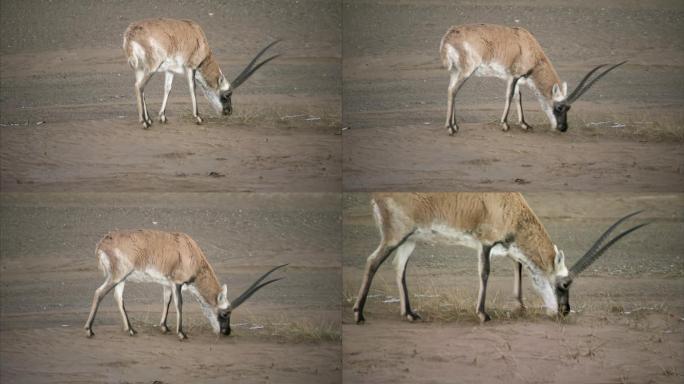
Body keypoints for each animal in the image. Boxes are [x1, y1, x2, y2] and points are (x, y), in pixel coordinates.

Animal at [83, 230, 286, 338]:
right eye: (225, 313)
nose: (227, 332)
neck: (189, 251)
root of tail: (102, 243)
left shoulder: (167, 283)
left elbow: (167, 301)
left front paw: (164, 327)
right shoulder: (178, 283)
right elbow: (179, 304)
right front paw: (181, 333)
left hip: (122, 279)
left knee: (118, 297)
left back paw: (131, 330)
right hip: (118, 275)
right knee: (99, 292)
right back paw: (89, 330)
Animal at [122, 17, 278, 129]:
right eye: (227, 95)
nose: (228, 112)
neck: (197, 36)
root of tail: (131, 34)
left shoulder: (170, 70)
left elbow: (168, 89)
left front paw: (162, 117)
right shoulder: (190, 68)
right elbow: (193, 88)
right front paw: (198, 118)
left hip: (140, 69)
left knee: (140, 88)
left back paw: (148, 120)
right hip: (151, 67)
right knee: (139, 87)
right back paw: (144, 122)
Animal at [352, 194, 648, 322]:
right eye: (564, 284)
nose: (564, 312)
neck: (512, 205)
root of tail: (378, 197)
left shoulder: (505, 247)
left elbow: (518, 266)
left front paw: (520, 306)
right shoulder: (485, 243)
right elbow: (485, 273)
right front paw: (483, 314)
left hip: (410, 240)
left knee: (399, 268)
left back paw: (411, 314)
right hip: (395, 237)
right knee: (372, 261)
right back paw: (359, 314)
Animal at [438, 23, 624, 135]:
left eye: (568, 108)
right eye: (559, 108)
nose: (563, 128)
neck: (527, 44)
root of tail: (449, 37)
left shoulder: (516, 78)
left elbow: (517, 97)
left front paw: (524, 124)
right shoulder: (513, 76)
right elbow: (509, 96)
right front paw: (505, 124)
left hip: (456, 71)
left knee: (450, 90)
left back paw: (455, 125)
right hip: (466, 70)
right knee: (453, 90)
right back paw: (450, 128)